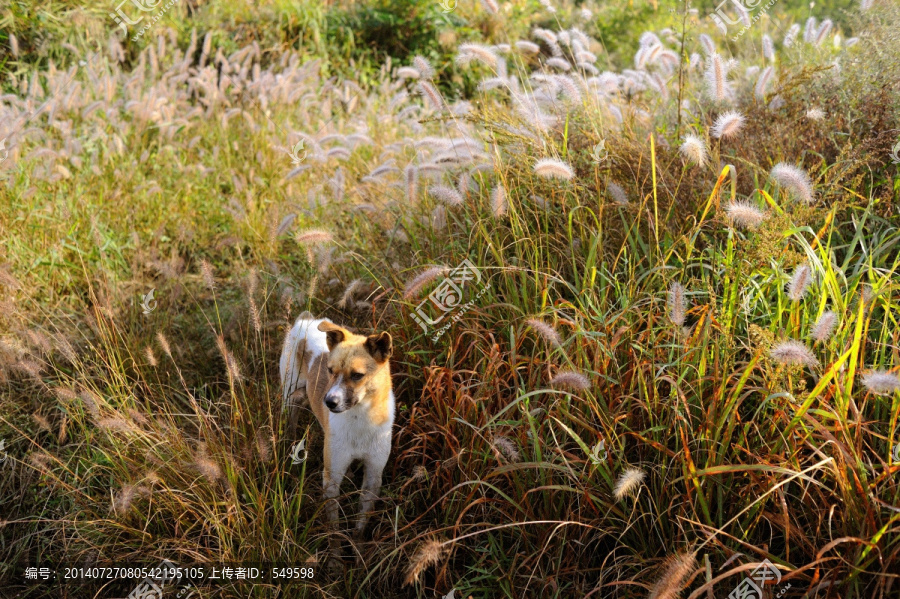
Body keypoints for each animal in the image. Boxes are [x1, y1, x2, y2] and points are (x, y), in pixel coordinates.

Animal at [280, 316, 396, 536]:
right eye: (330, 370)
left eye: (357, 375)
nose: (328, 402)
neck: (360, 419)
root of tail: (307, 320)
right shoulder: (331, 479)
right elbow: (334, 527)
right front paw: (337, 544)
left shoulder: (373, 476)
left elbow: (361, 522)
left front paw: (357, 544)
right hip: (290, 397)